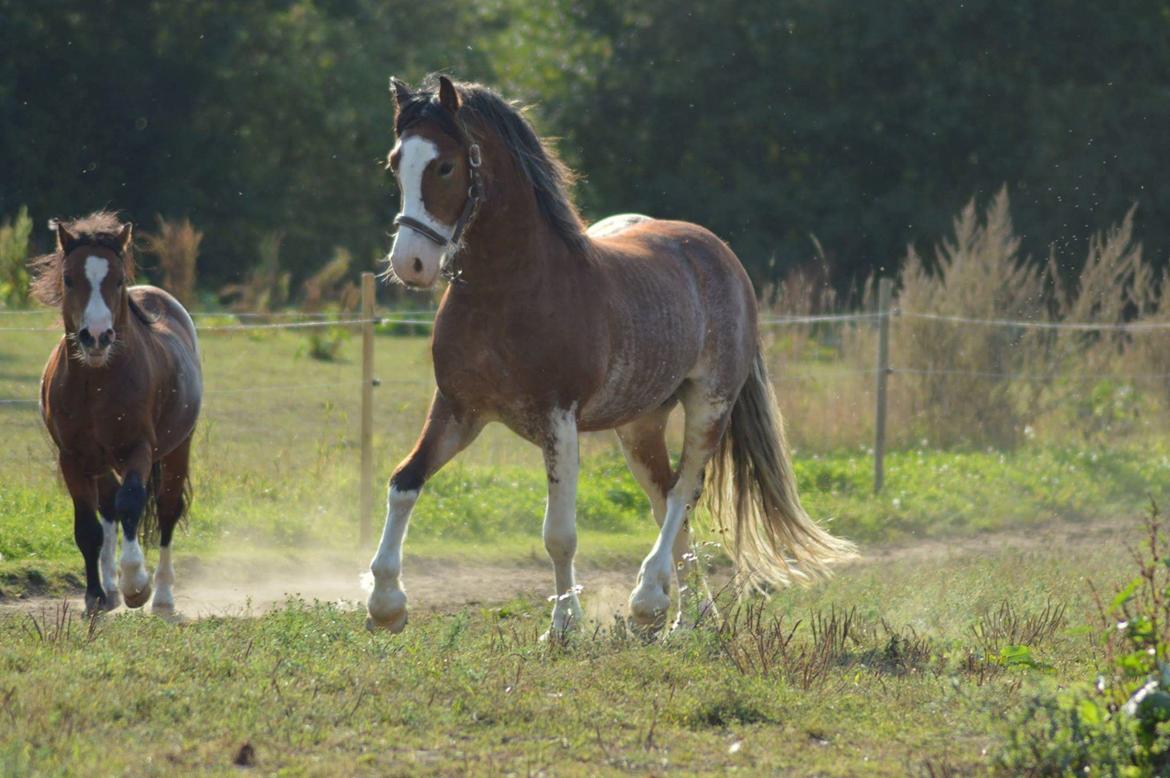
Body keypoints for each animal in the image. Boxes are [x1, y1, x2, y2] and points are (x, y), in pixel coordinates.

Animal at [31, 212, 201, 613]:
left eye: (118, 279)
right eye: (69, 278)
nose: (96, 336)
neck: (96, 383)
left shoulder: (138, 448)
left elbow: (131, 504)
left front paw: (136, 584)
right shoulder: (72, 457)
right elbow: (88, 526)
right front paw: (95, 595)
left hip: (177, 449)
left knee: (166, 510)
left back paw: (163, 597)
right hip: (101, 461)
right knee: (106, 508)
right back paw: (109, 587)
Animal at [367, 77, 861, 636]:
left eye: (445, 165)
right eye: (395, 163)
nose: (410, 264)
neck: (509, 289)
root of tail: (720, 254)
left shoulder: (557, 419)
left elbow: (559, 532)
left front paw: (564, 627)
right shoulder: (457, 410)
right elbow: (404, 482)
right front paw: (386, 605)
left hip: (709, 405)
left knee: (683, 493)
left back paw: (648, 600)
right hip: (640, 426)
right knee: (667, 501)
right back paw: (688, 619)